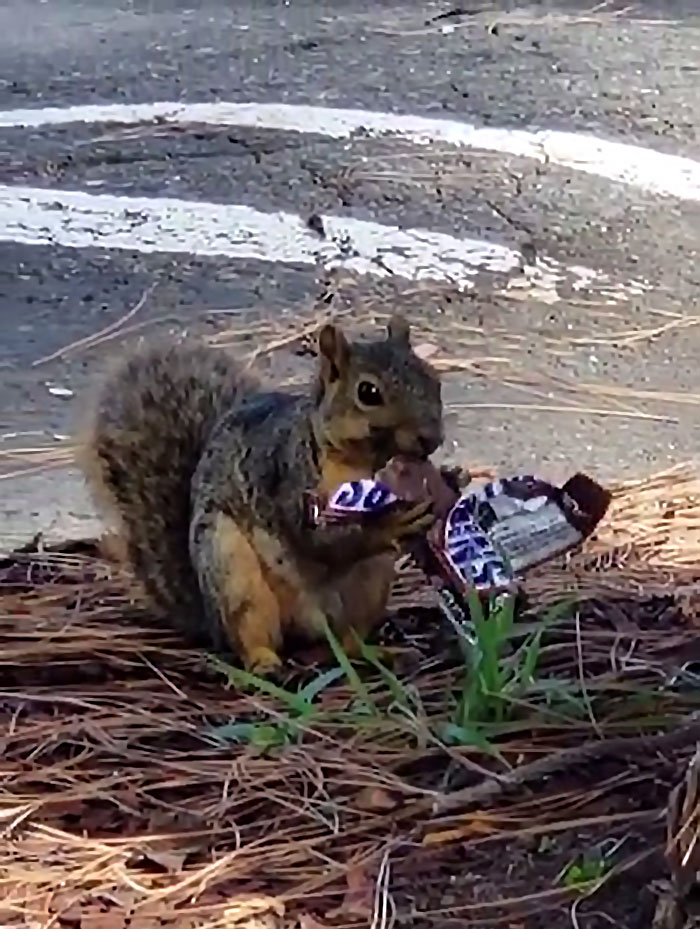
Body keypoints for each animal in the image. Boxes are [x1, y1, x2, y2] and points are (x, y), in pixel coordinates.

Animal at [80, 316, 445, 674]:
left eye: (433, 378)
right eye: (368, 392)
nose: (431, 438)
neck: (363, 463)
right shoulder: (287, 479)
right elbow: (320, 539)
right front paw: (390, 523)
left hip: (371, 581)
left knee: (348, 642)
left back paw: (379, 655)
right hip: (232, 570)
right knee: (249, 634)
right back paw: (263, 662)